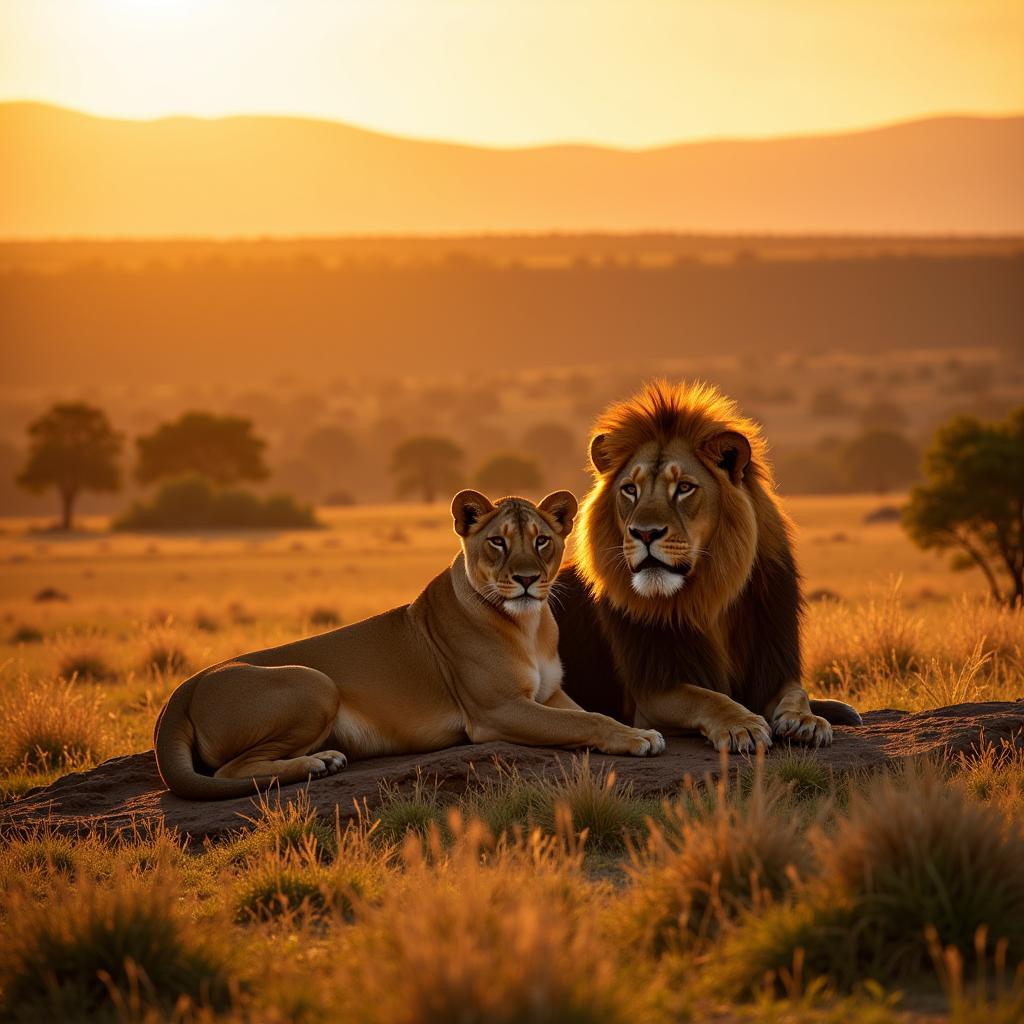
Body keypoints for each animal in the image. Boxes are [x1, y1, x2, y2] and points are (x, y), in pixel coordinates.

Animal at [151, 487, 663, 798]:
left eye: (541, 541)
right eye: (497, 542)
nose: (525, 579)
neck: (527, 624)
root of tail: (182, 691)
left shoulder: (549, 693)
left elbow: (587, 713)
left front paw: (637, 729)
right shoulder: (496, 711)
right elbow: (587, 720)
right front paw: (639, 738)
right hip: (315, 683)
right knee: (227, 772)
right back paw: (320, 762)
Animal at [557, 382, 860, 753]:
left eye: (684, 488)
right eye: (630, 489)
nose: (644, 533)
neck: (709, 595)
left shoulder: (771, 663)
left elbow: (795, 691)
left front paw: (805, 720)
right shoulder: (652, 694)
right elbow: (707, 697)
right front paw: (742, 725)